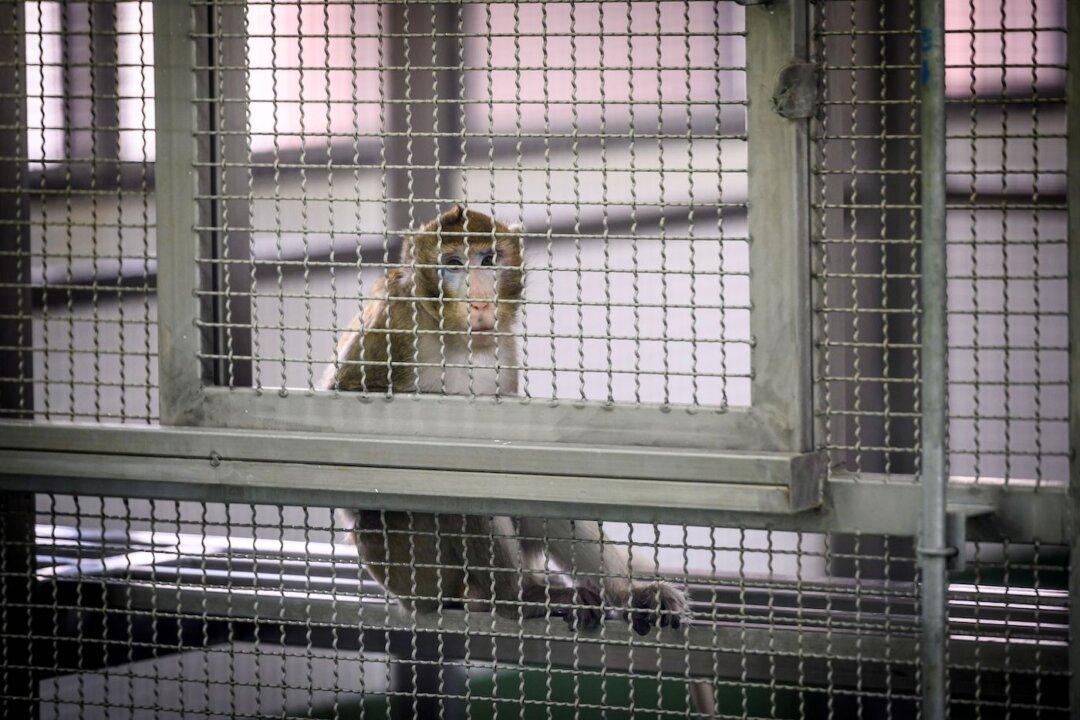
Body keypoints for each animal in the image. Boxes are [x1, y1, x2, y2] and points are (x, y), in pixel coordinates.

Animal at [323, 205, 687, 635]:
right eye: (454, 264)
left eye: (488, 261)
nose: (481, 303)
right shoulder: (394, 323)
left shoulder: (505, 346)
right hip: (411, 569)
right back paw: (522, 598)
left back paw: (632, 594)